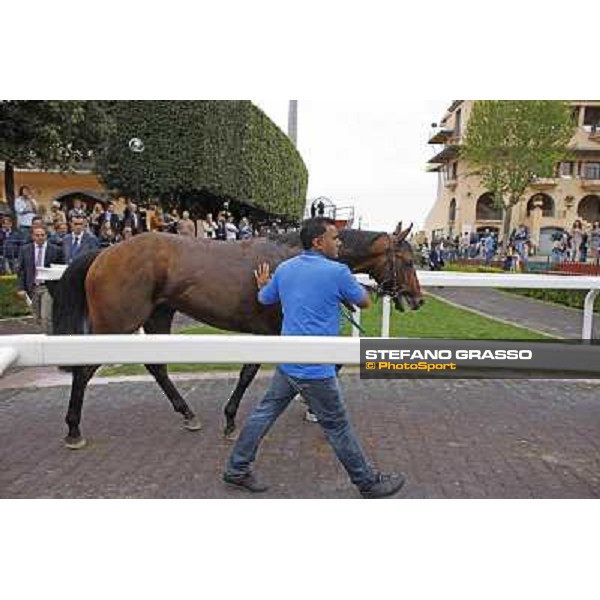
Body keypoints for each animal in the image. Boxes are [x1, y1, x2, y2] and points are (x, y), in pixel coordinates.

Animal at [52, 223, 422, 448]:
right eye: (406, 259)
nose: (418, 299)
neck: (292, 257)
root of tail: (103, 252)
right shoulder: (270, 332)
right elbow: (249, 374)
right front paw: (231, 420)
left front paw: (308, 404)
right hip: (117, 323)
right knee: (84, 371)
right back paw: (72, 429)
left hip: (158, 314)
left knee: (156, 367)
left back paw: (187, 414)